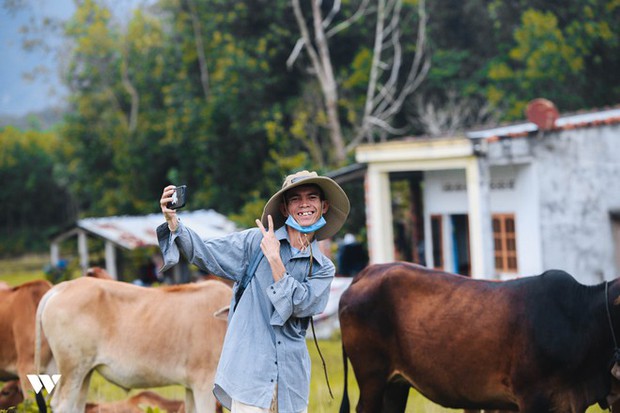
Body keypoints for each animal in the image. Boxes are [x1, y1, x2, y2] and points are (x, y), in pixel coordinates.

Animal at [36, 276, 231, 412]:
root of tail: (64, 286)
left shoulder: (191, 386)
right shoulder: (204, 384)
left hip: (83, 372)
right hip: (72, 368)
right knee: (62, 405)